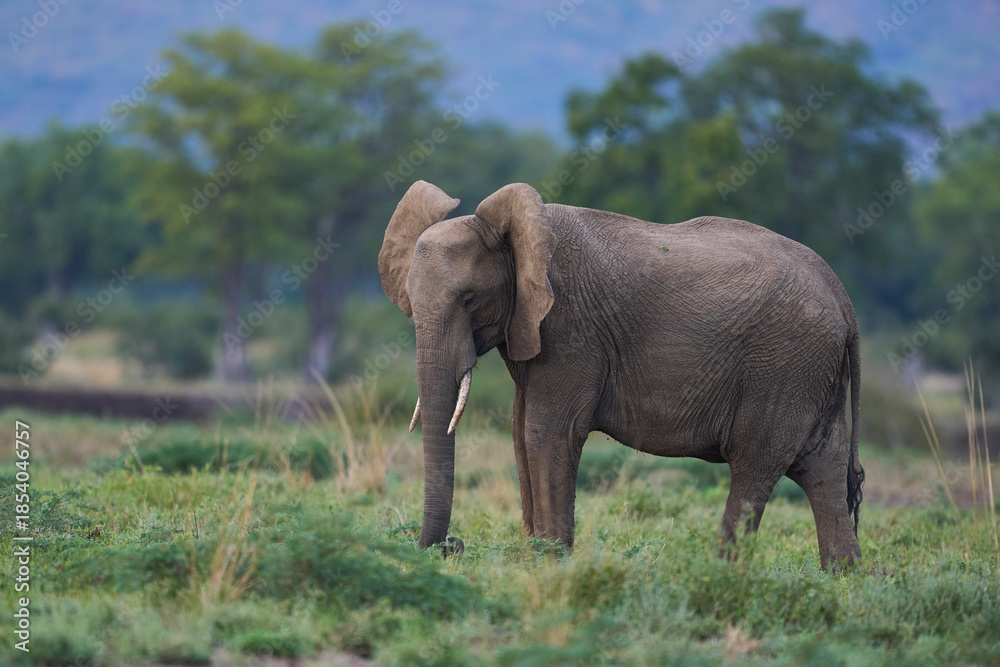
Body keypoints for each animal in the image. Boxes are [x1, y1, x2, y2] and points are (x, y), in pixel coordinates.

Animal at [378, 180, 864, 570]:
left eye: (469, 300)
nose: (451, 545)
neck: (518, 236)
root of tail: (843, 296)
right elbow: (519, 433)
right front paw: (535, 559)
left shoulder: (571, 329)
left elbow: (546, 432)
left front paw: (550, 563)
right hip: (808, 369)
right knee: (823, 468)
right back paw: (841, 576)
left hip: (784, 365)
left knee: (754, 464)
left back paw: (723, 574)